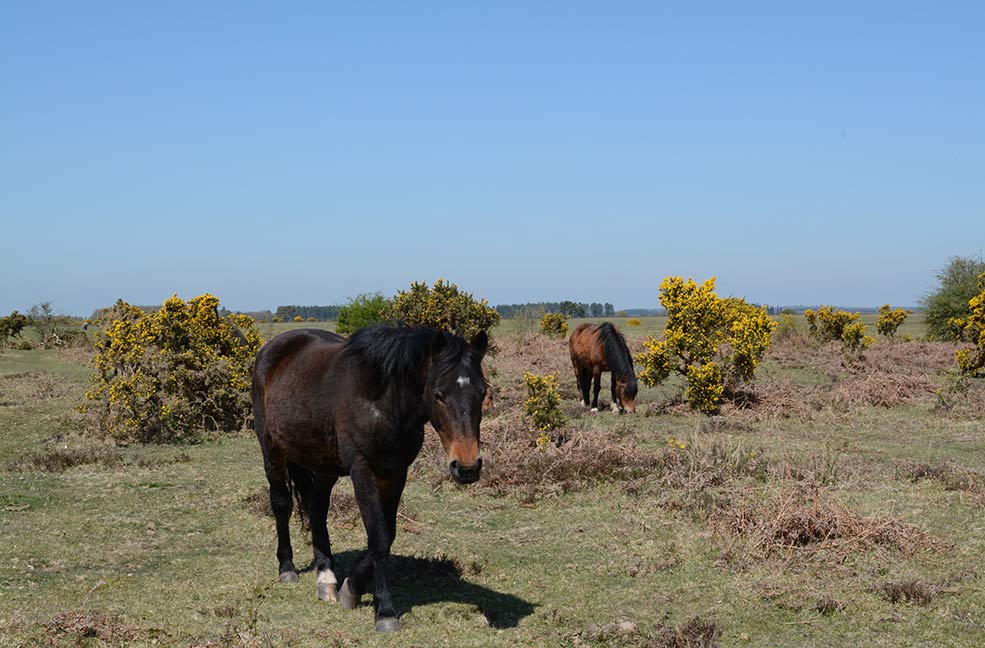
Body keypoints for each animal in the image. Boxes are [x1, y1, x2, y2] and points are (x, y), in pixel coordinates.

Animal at [252, 324, 486, 632]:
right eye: (438, 394)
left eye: (483, 393)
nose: (468, 466)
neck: (383, 402)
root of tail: (274, 347)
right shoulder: (362, 471)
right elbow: (378, 537)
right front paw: (385, 611)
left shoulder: (396, 473)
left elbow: (388, 532)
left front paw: (351, 588)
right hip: (272, 449)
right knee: (281, 504)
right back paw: (287, 568)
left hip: (325, 464)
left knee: (316, 506)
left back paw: (326, 576)